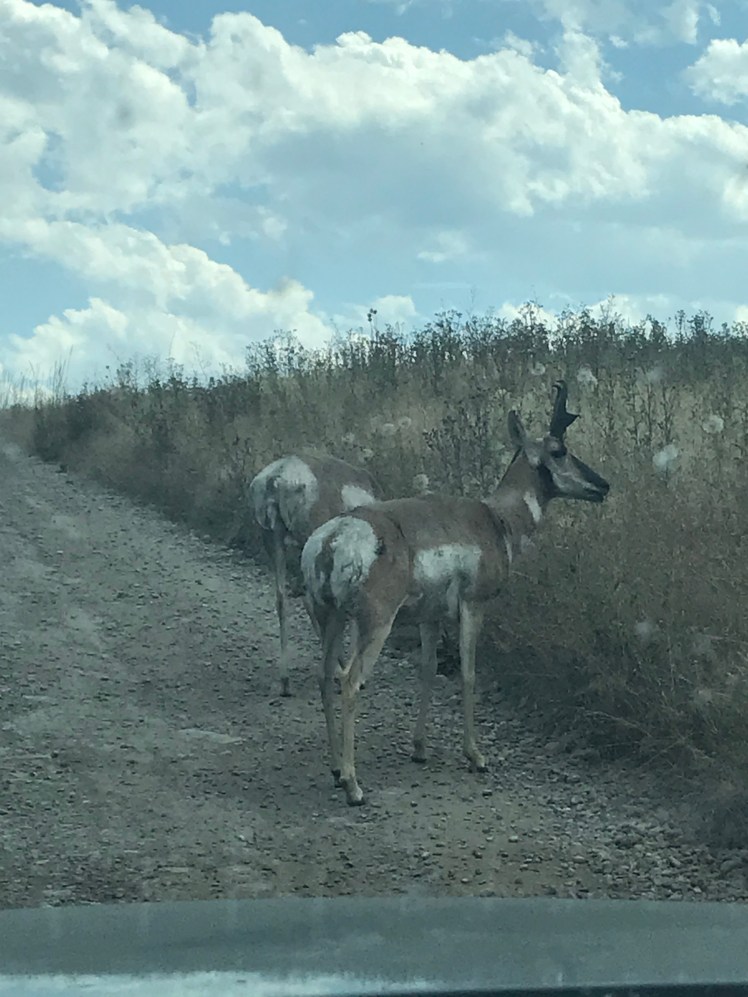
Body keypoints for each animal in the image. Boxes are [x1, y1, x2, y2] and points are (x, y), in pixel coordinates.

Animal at [249, 452, 382, 697]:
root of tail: (278, 476)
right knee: (311, 601)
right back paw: (337, 670)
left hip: (274, 542)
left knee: (283, 599)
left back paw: (286, 682)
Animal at [301, 382, 610, 805]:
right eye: (559, 450)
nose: (603, 485)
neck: (496, 519)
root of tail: (334, 537)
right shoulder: (473, 606)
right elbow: (468, 673)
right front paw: (476, 756)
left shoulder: (429, 618)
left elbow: (428, 669)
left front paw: (419, 748)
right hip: (375, 623)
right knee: (349, 680)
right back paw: (353, 785)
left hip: (329, 616)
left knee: (323, 675)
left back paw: (335, 768)